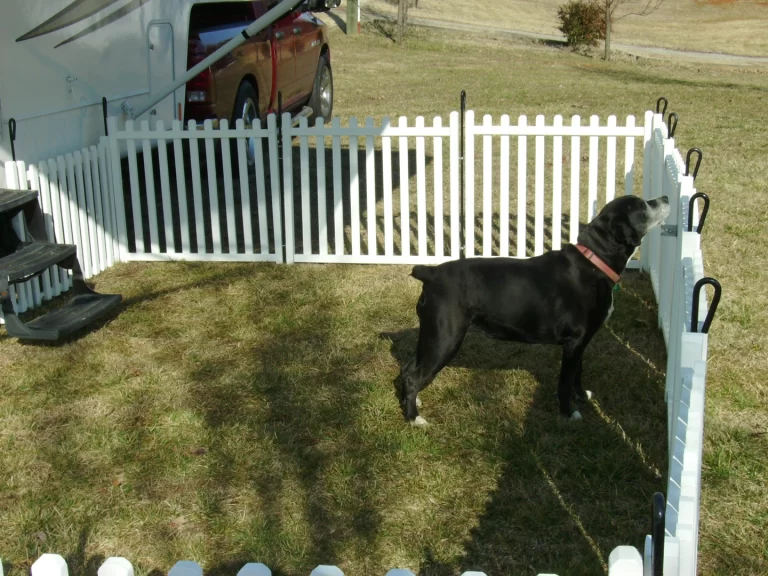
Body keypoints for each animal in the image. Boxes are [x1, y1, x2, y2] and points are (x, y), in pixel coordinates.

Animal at [400, 196, 668, 426]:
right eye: (642, 205)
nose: (665, 198)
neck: (594, 264)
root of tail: (431, 273)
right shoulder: (574, 343)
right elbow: (565, 381)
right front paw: (569, 413)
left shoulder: (582, 342)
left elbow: (578, 373)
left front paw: (581, 396)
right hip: (445, 339)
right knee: (413, 377)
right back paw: (415, 419)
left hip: (431, 336)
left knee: (407, 369)